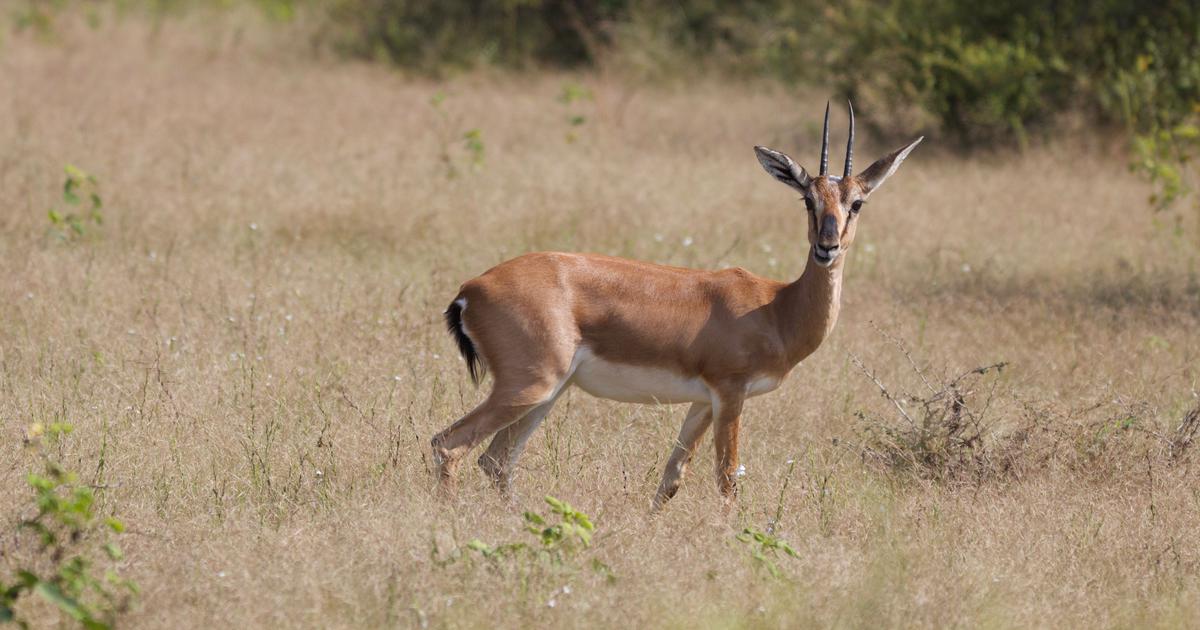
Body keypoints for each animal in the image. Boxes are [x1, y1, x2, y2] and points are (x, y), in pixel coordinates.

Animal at [431, 102, 922, 510]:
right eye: (808, 199)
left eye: (857, 203)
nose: (827, 246)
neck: (775, 308)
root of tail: (471, 289)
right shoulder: (730, 393)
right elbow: (727, 479)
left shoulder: (702, 402)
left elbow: (671, 478)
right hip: (529, 387)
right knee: (449, 444)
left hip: (548, 393)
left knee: (495, 461)